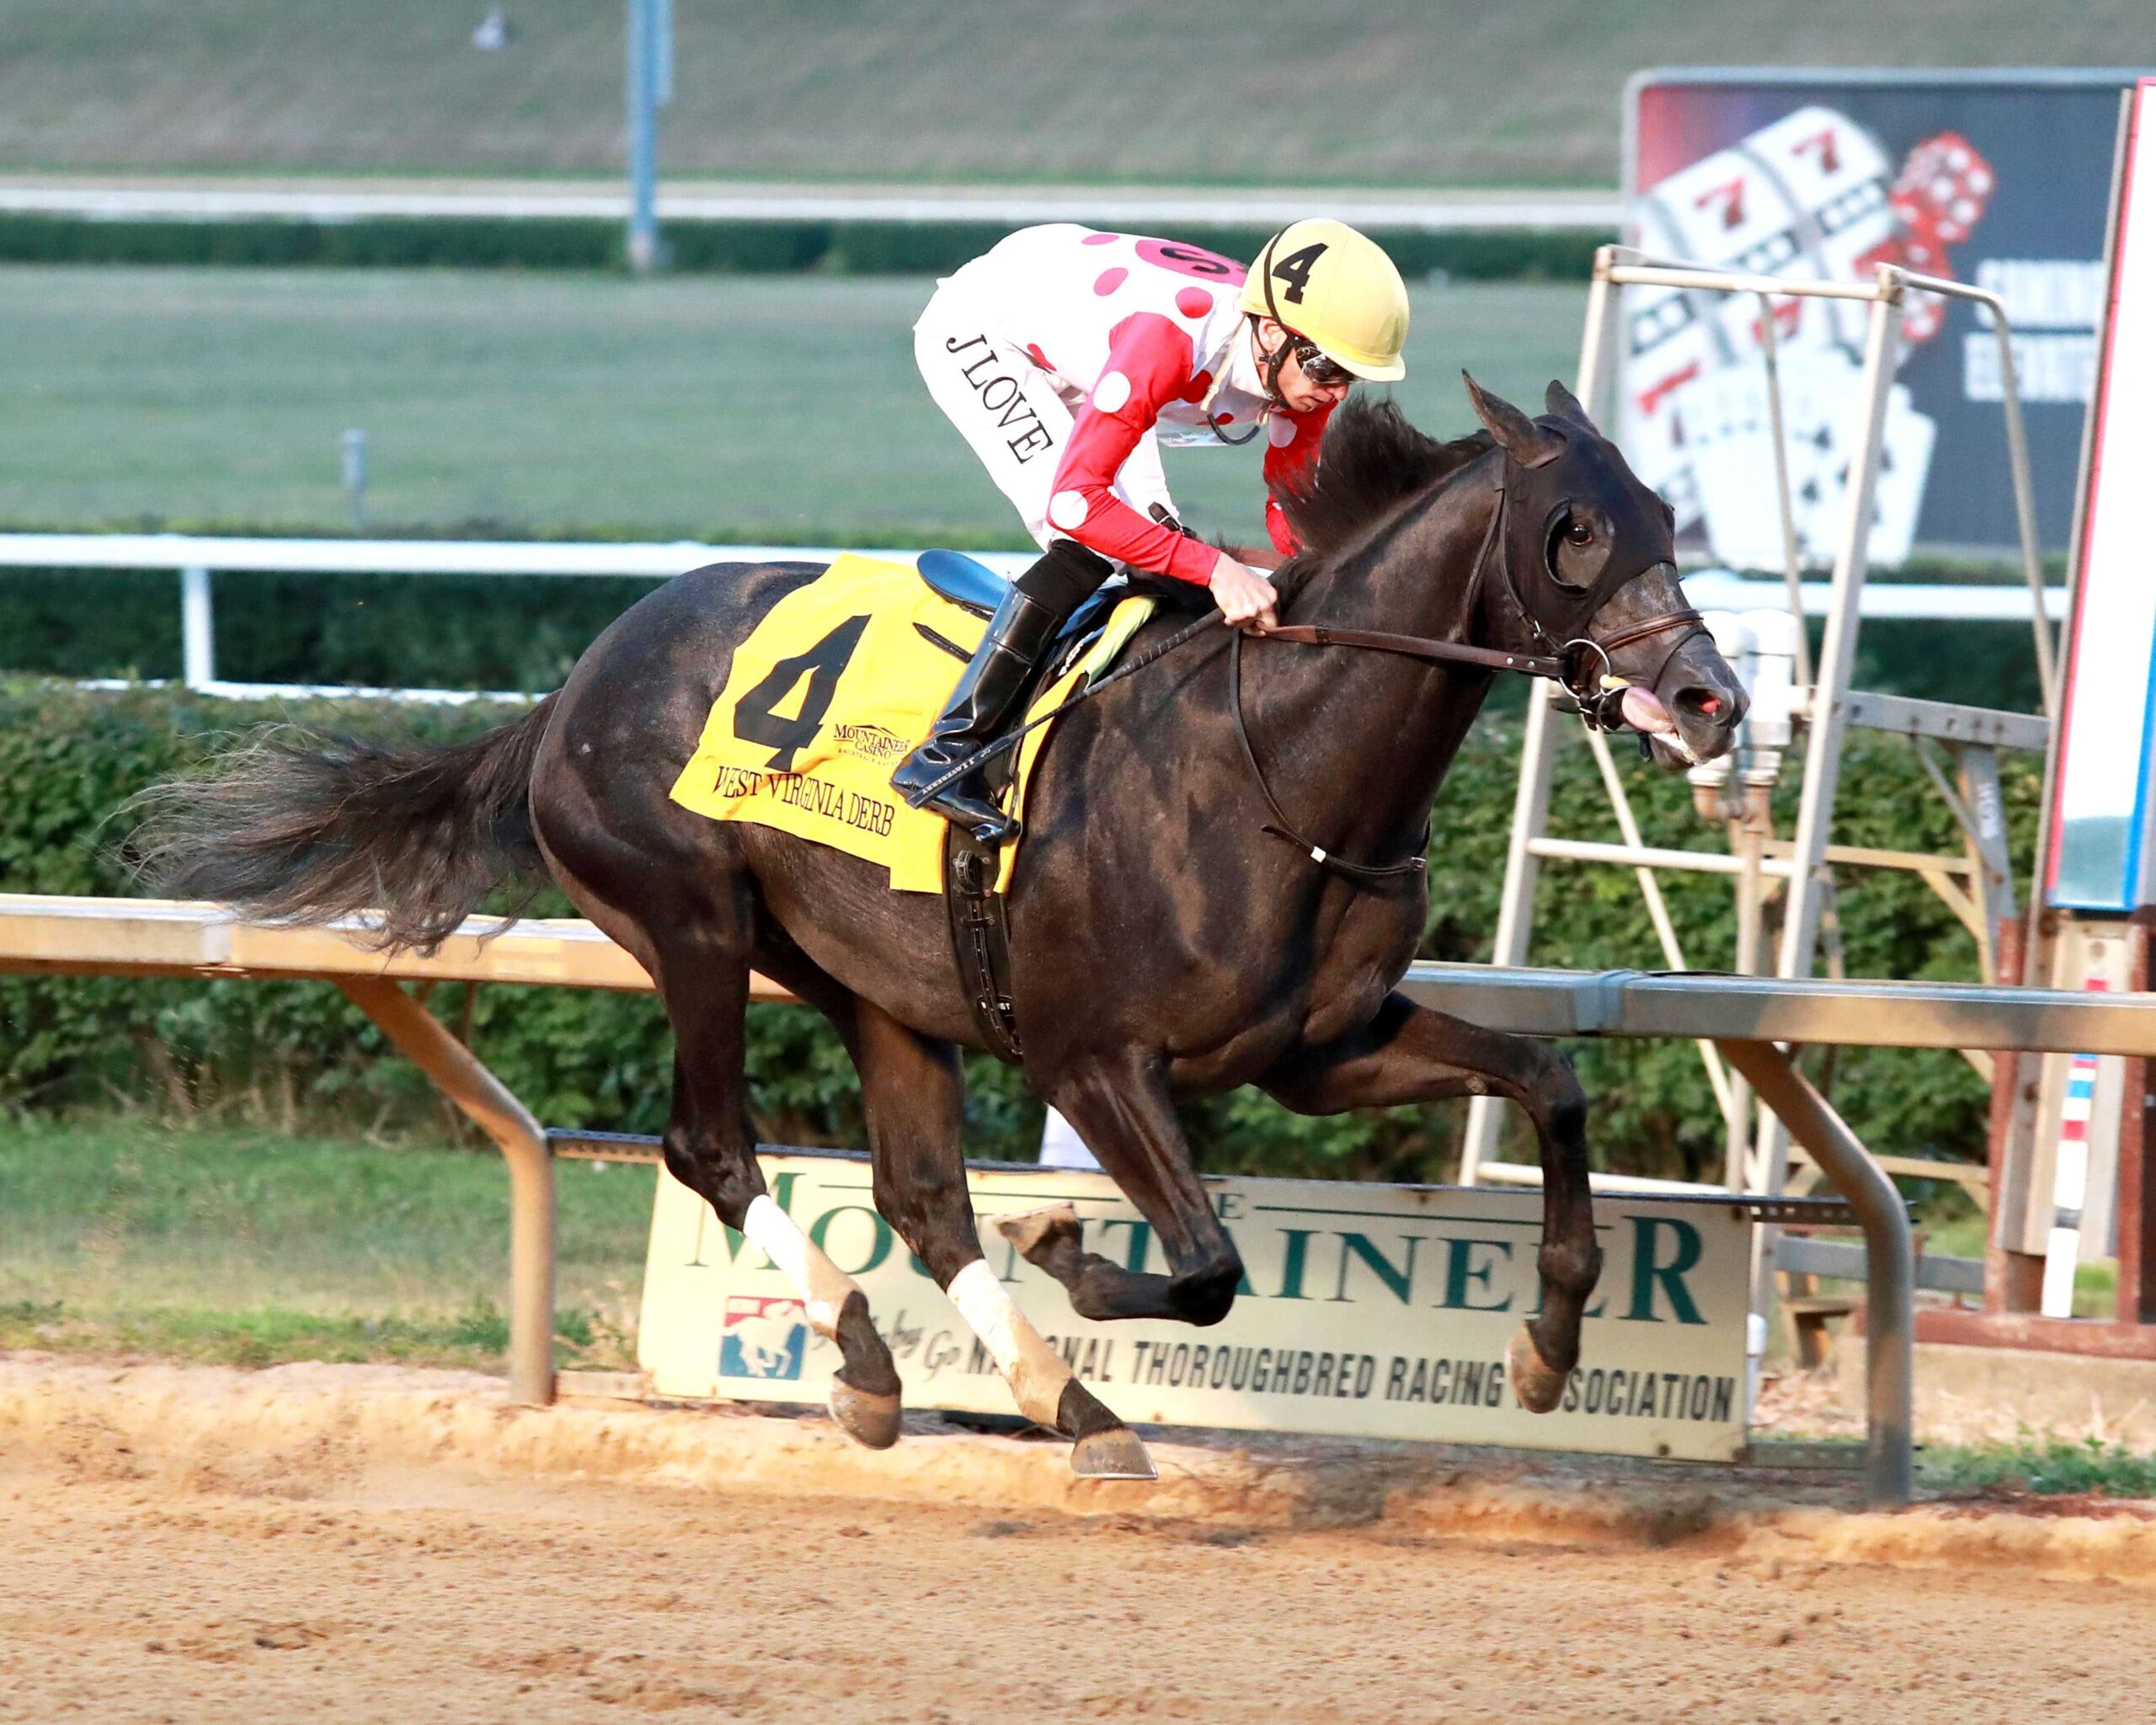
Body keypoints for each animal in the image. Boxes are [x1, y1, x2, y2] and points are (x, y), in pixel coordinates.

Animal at [132, 378, 1746, 1480]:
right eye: (1575, 529)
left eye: (1670, 518)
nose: (1713, 698)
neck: (1276, 758)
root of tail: (578, 676)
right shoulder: (1099, 1058)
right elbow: (1208, 1263)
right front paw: (1077, 1246)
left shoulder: (1319, 1048)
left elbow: (1550, 1079)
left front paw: (1549, 1344)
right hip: (691, 924)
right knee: (713, 1144)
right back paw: (869, 1365)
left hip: (881, 988)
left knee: (919, 1195)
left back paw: (1064, 1404)